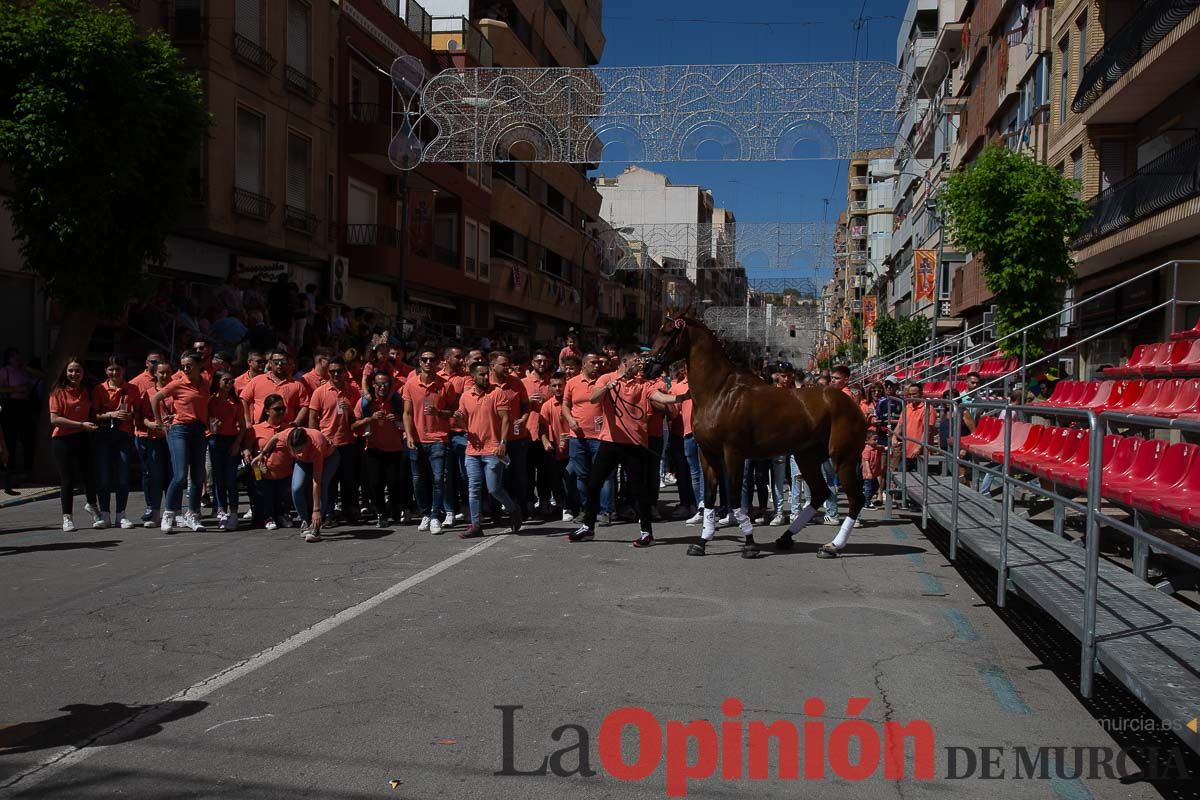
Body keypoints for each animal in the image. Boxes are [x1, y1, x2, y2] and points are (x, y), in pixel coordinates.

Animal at [648, 311, 864, 556]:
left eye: (668, 333)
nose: (648, 368)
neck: (719, 392)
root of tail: (851, 402)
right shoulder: (708, 453)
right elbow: (710, 497)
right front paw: (702, 542)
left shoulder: (733, 454)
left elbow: (735, 497)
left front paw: (750, 543)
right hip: (807, 458)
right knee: (820, 493)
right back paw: (786, 538)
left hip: (843, 458)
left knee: (856, 499)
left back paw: (832, 546)